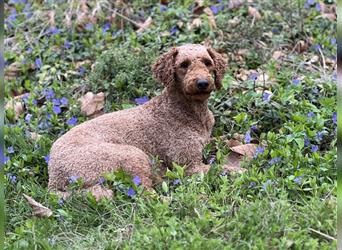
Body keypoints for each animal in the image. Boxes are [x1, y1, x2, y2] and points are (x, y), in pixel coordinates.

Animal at [47, 44, 235, 198]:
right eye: (183, 64)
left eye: (208, 62)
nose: (203, 83)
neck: (188, 112)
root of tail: (53, 179)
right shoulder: (190, 166)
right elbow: (224, 168)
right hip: (131, 155)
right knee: (145, 194)